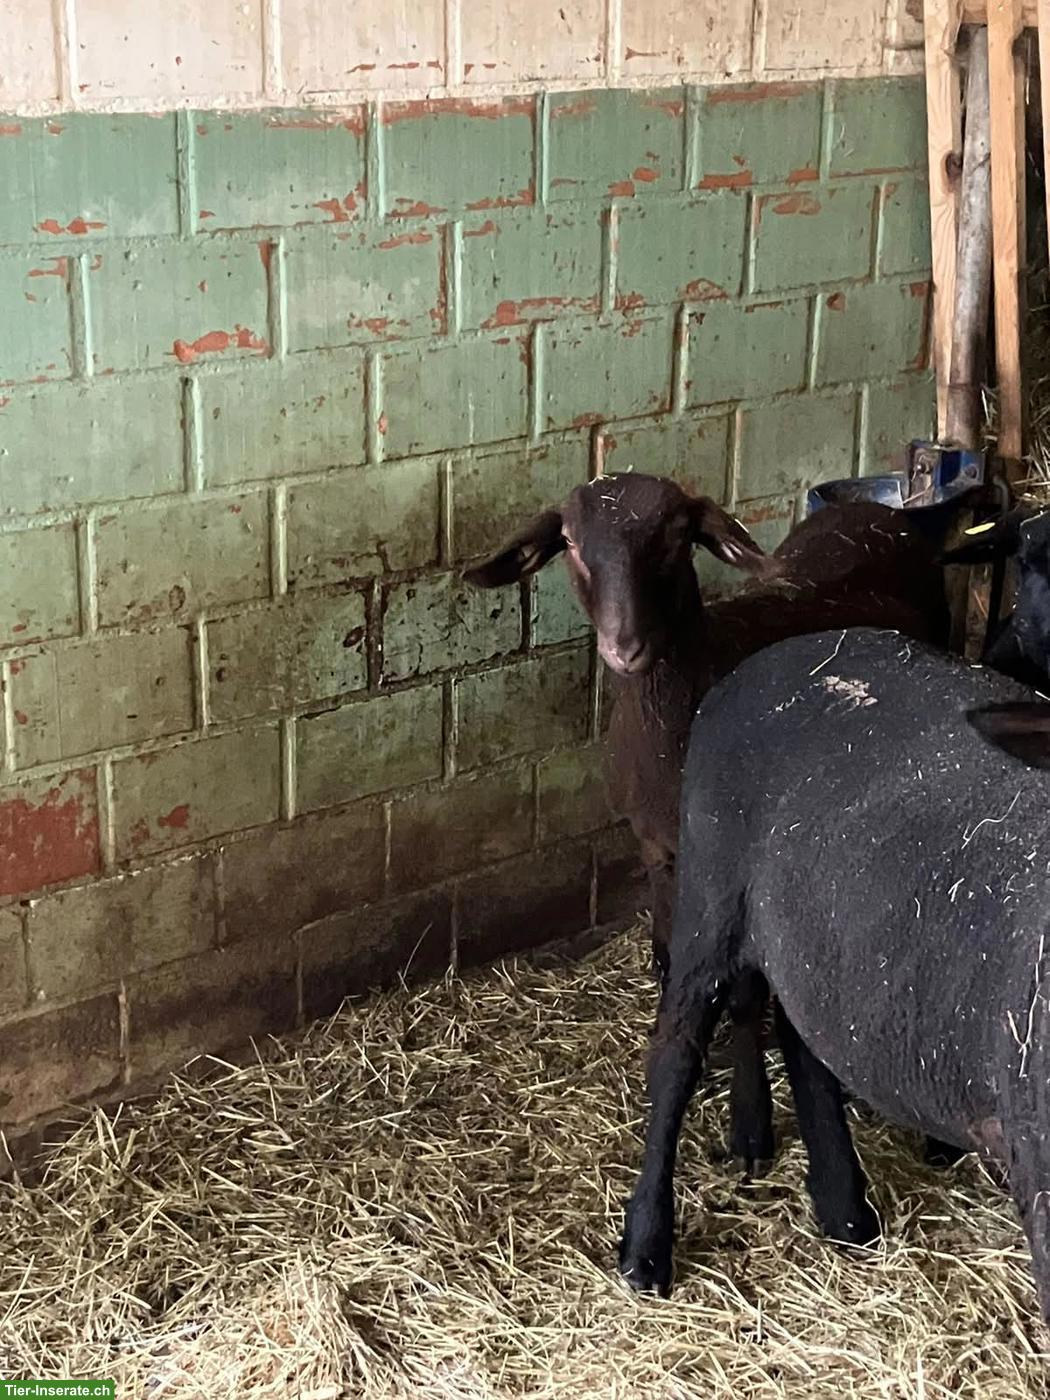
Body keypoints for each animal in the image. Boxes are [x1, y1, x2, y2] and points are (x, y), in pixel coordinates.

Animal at [465, 472, 957, 1169]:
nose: (626, 647)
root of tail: (872, 512)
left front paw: (749, 1124)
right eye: (572, 544)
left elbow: (745, 992)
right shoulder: (657, 850)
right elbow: (670, 956)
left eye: (676, 538)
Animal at [618, 625, 1050, 1317]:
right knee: (676, 1055)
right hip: (710, 890)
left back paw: (842, 1208)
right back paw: (646, 1249)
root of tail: (788, 650)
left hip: (814, 927)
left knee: (807, 1035)